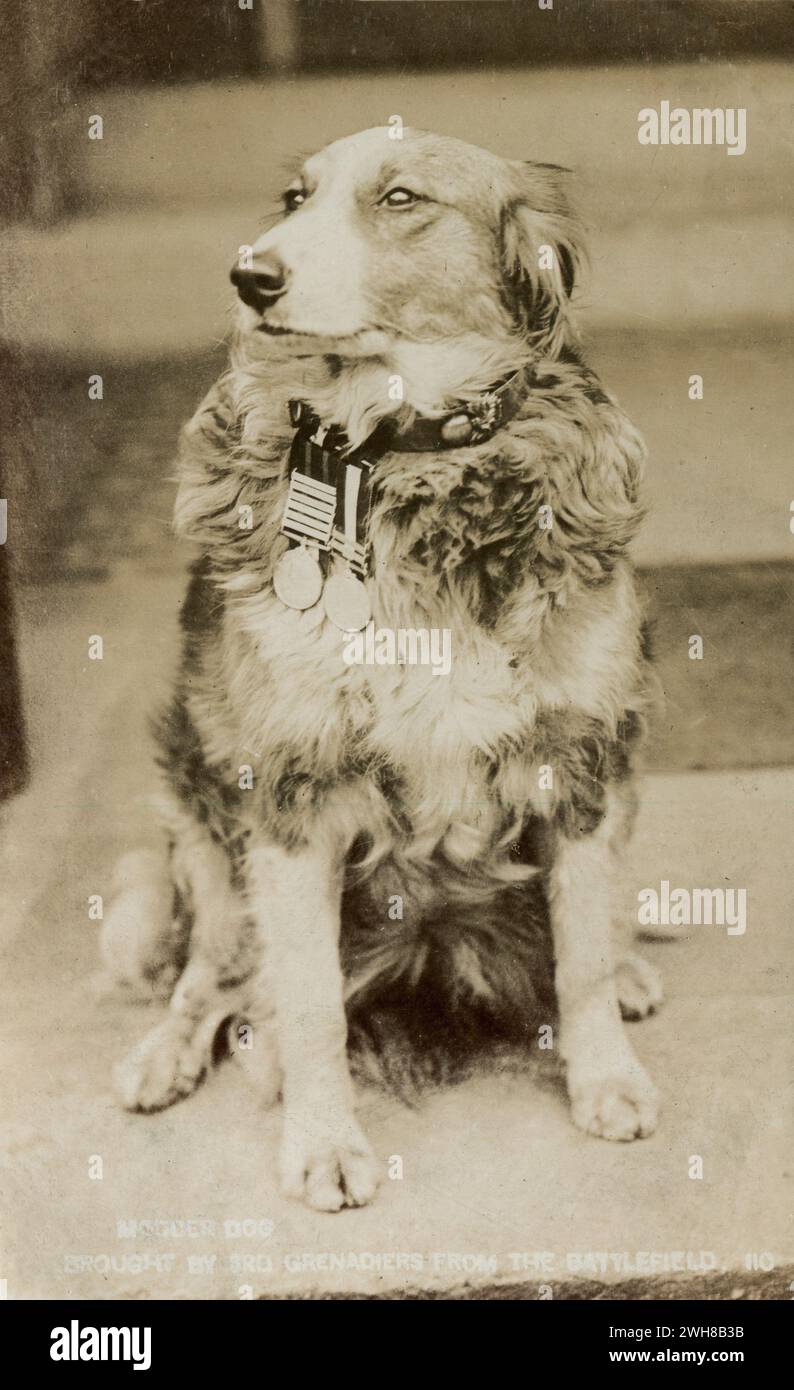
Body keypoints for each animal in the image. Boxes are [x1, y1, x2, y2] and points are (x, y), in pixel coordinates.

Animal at [105, 132, 664, 1217]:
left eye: (401, 199)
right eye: (293, 197)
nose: (251, 275)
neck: (401, 452)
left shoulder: (577, 761)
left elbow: (576, 952)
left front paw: (606, 1075)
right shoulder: (289, 795)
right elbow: (312, 1002)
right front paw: (322, 1142)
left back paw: (627, 970)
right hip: (200, 812)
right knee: (210, 969)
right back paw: (168, 1050)